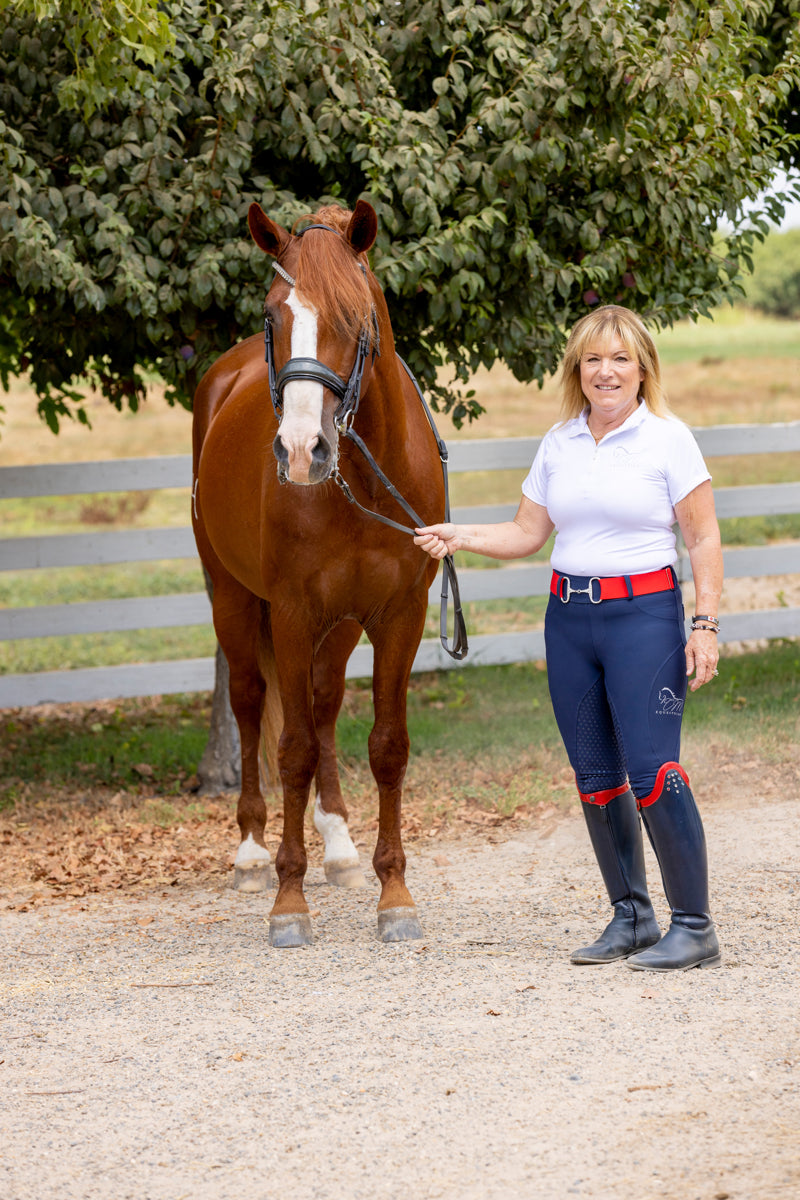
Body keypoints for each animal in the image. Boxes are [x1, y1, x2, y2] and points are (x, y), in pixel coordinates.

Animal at [191, 199, 462, 945]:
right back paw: (252, 853)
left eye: (354, 318)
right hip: (231, 598)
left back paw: (338, 846)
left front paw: (393, 893)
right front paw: (289, 902)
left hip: (337, 626)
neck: (361, 482)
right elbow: (291, 750)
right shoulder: (288, 612)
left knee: (323, 701)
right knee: (252, 703)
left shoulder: (399, 615)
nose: (300, 450)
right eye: (272, 316)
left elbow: (386, 746)